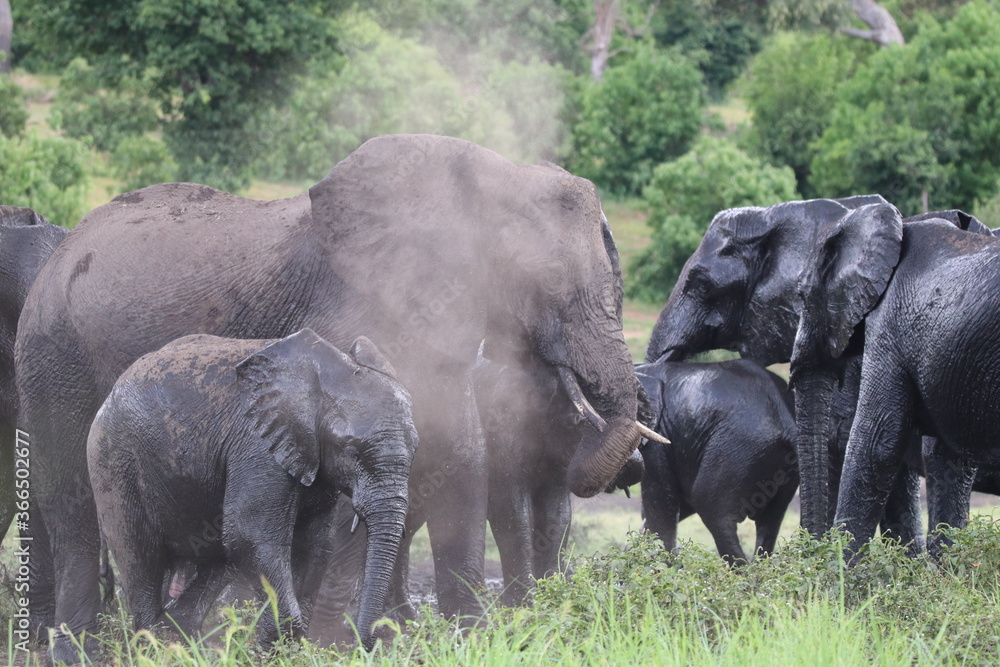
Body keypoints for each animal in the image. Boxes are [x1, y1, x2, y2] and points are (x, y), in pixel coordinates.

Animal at [87, 330, 416, 651]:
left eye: (414, 450)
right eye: (351, 452)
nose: (367, 643)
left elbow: (316, 545)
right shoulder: (257, 444)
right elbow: (249, 536)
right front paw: (275, 647)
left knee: (215, 560)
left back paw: (179, 640)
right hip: (114, 461)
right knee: (141, 558)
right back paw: (153, 645)